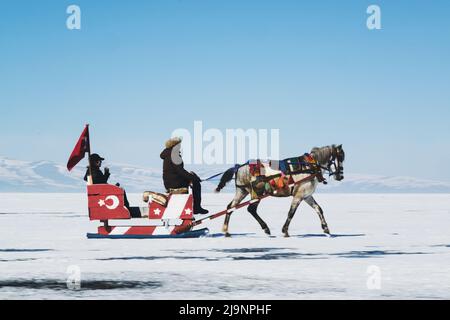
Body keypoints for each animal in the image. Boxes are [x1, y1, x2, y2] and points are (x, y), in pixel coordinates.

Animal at [216, 145, 346, 238]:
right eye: (340, 158)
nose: (340, 176)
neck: (310, 167)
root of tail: (239, 166)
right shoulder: (298, 195)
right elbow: (291, 213)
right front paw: (285, 231)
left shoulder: (306, 195)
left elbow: (319, 209)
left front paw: (326, 228)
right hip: (257, 192)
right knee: (251, 209)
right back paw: (266, 228)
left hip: (242, 191)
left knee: (230, 207)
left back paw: (226, 231)